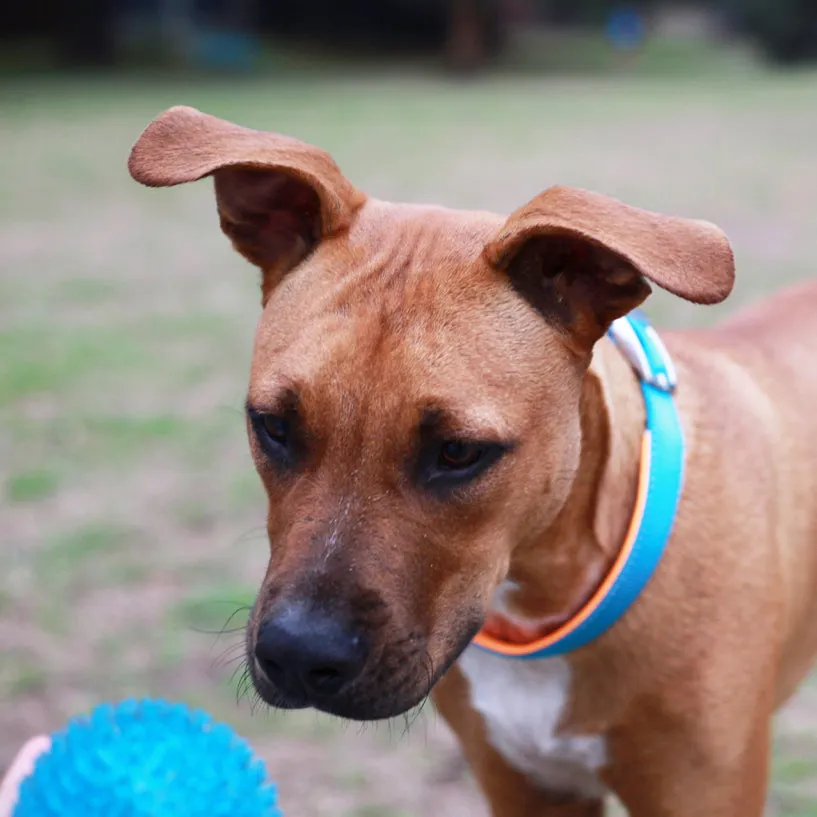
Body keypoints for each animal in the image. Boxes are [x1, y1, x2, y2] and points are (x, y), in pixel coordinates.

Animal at [127, 105, 816, 812]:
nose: (297, 654)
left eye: (459, 451)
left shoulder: (701, 788)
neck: (542, 608)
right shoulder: (523, 787)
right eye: (273, 426)